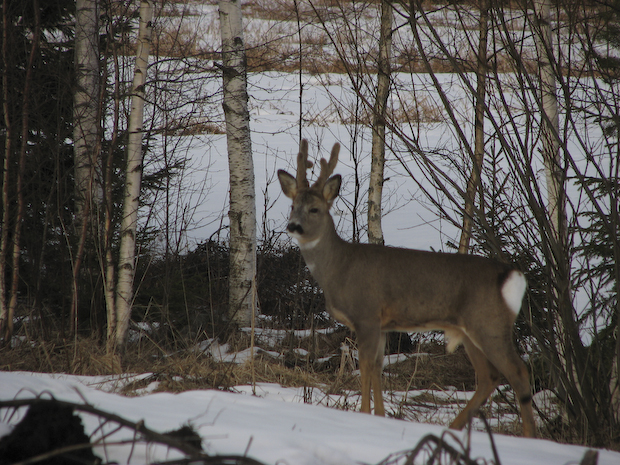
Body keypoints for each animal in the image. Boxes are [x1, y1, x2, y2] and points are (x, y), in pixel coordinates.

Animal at [278, 138, 536, 436]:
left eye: (315, 209)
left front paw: (364, 416)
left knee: (518, 372)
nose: (293, 226)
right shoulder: (382, 325)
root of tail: (512, 275)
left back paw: (527, 437)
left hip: (489, 322)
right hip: (470, 328)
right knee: (488, 377)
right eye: (292, 206)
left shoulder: (366, 314)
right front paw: (380, 416)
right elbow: (377, 368)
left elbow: (365, 366)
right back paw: (452, 428)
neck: (339, 268)